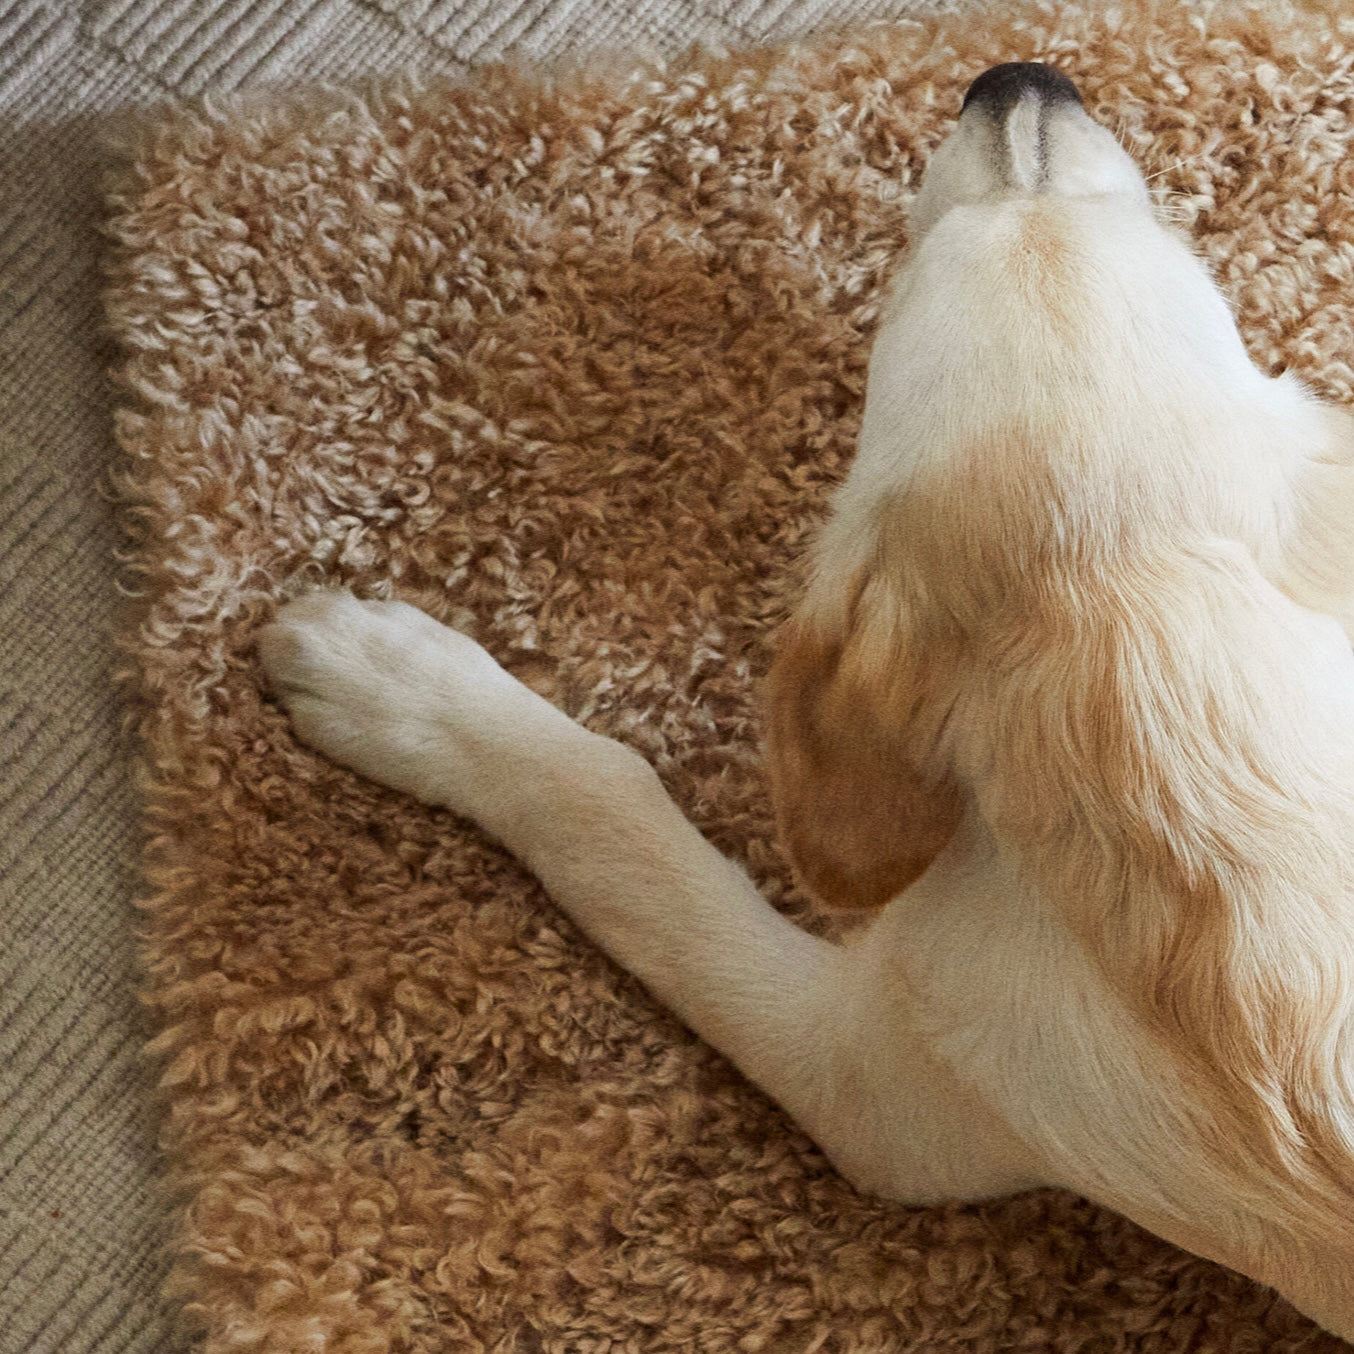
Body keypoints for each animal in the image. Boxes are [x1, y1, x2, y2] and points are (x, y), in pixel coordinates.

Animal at [258, 60, 1354, 1332]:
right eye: (1170, 246)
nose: (1017, 79)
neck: (1161, 689)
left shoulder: (877, 1082)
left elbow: (612, 810)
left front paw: (399, 684)